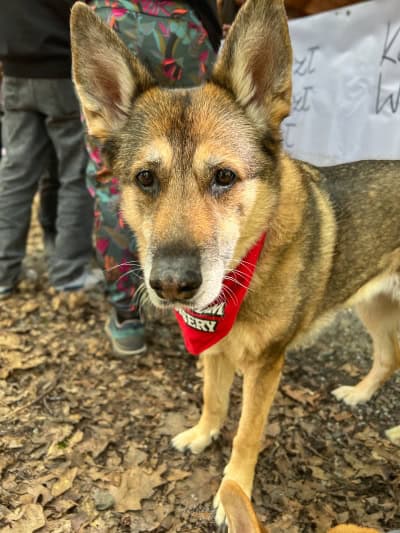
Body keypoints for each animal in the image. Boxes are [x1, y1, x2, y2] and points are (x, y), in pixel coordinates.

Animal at [70, 0, 400, 525]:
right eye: (146, 179)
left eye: (224, 177)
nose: (172, 285)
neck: (246, 269)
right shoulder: (215, 350)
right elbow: (213, 400)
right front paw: (202, 435)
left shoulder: (266, 366)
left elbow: (246, 433)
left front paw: (233, 490)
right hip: (373, 305)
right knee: (389, 356)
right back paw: (360, 393)